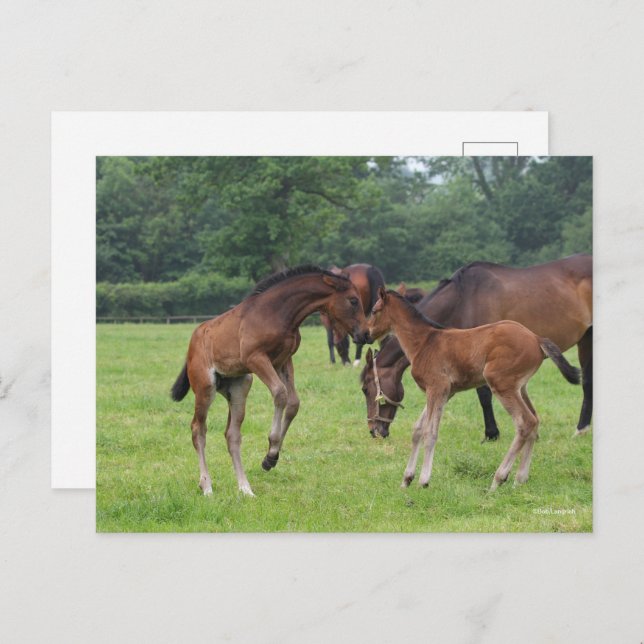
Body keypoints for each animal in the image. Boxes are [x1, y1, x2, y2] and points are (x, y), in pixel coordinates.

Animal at [171, 265, 371, 497]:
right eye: (353, 300)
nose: (365, 334)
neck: (277, 312)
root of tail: (192, 343)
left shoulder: (283, 360)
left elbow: (293, 403)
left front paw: (270, 458)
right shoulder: (256, 358)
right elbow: (280, 393)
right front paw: (272, 447)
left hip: (240, 386)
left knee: (232, 435)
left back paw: (245, 488)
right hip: (205, 387)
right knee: (198, 429)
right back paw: (207, 486)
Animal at [361, 254, 592, 439]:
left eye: (365, 389)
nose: (373, 430)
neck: (463, 298)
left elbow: (483, 394)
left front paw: (491, 433)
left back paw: (581, 428)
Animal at [367, 288, 581, 490]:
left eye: (375, 310)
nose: (368, 333)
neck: (424, 342)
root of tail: (536, 338)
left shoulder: (436, 388)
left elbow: (430, 432)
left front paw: (423, 480)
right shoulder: (445, 392)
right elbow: (418, 429)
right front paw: (406, 479)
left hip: (501, 383)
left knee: (525, 422)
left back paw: (498, 479)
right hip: (520, 387)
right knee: (535, 421)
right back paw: (519, 479)